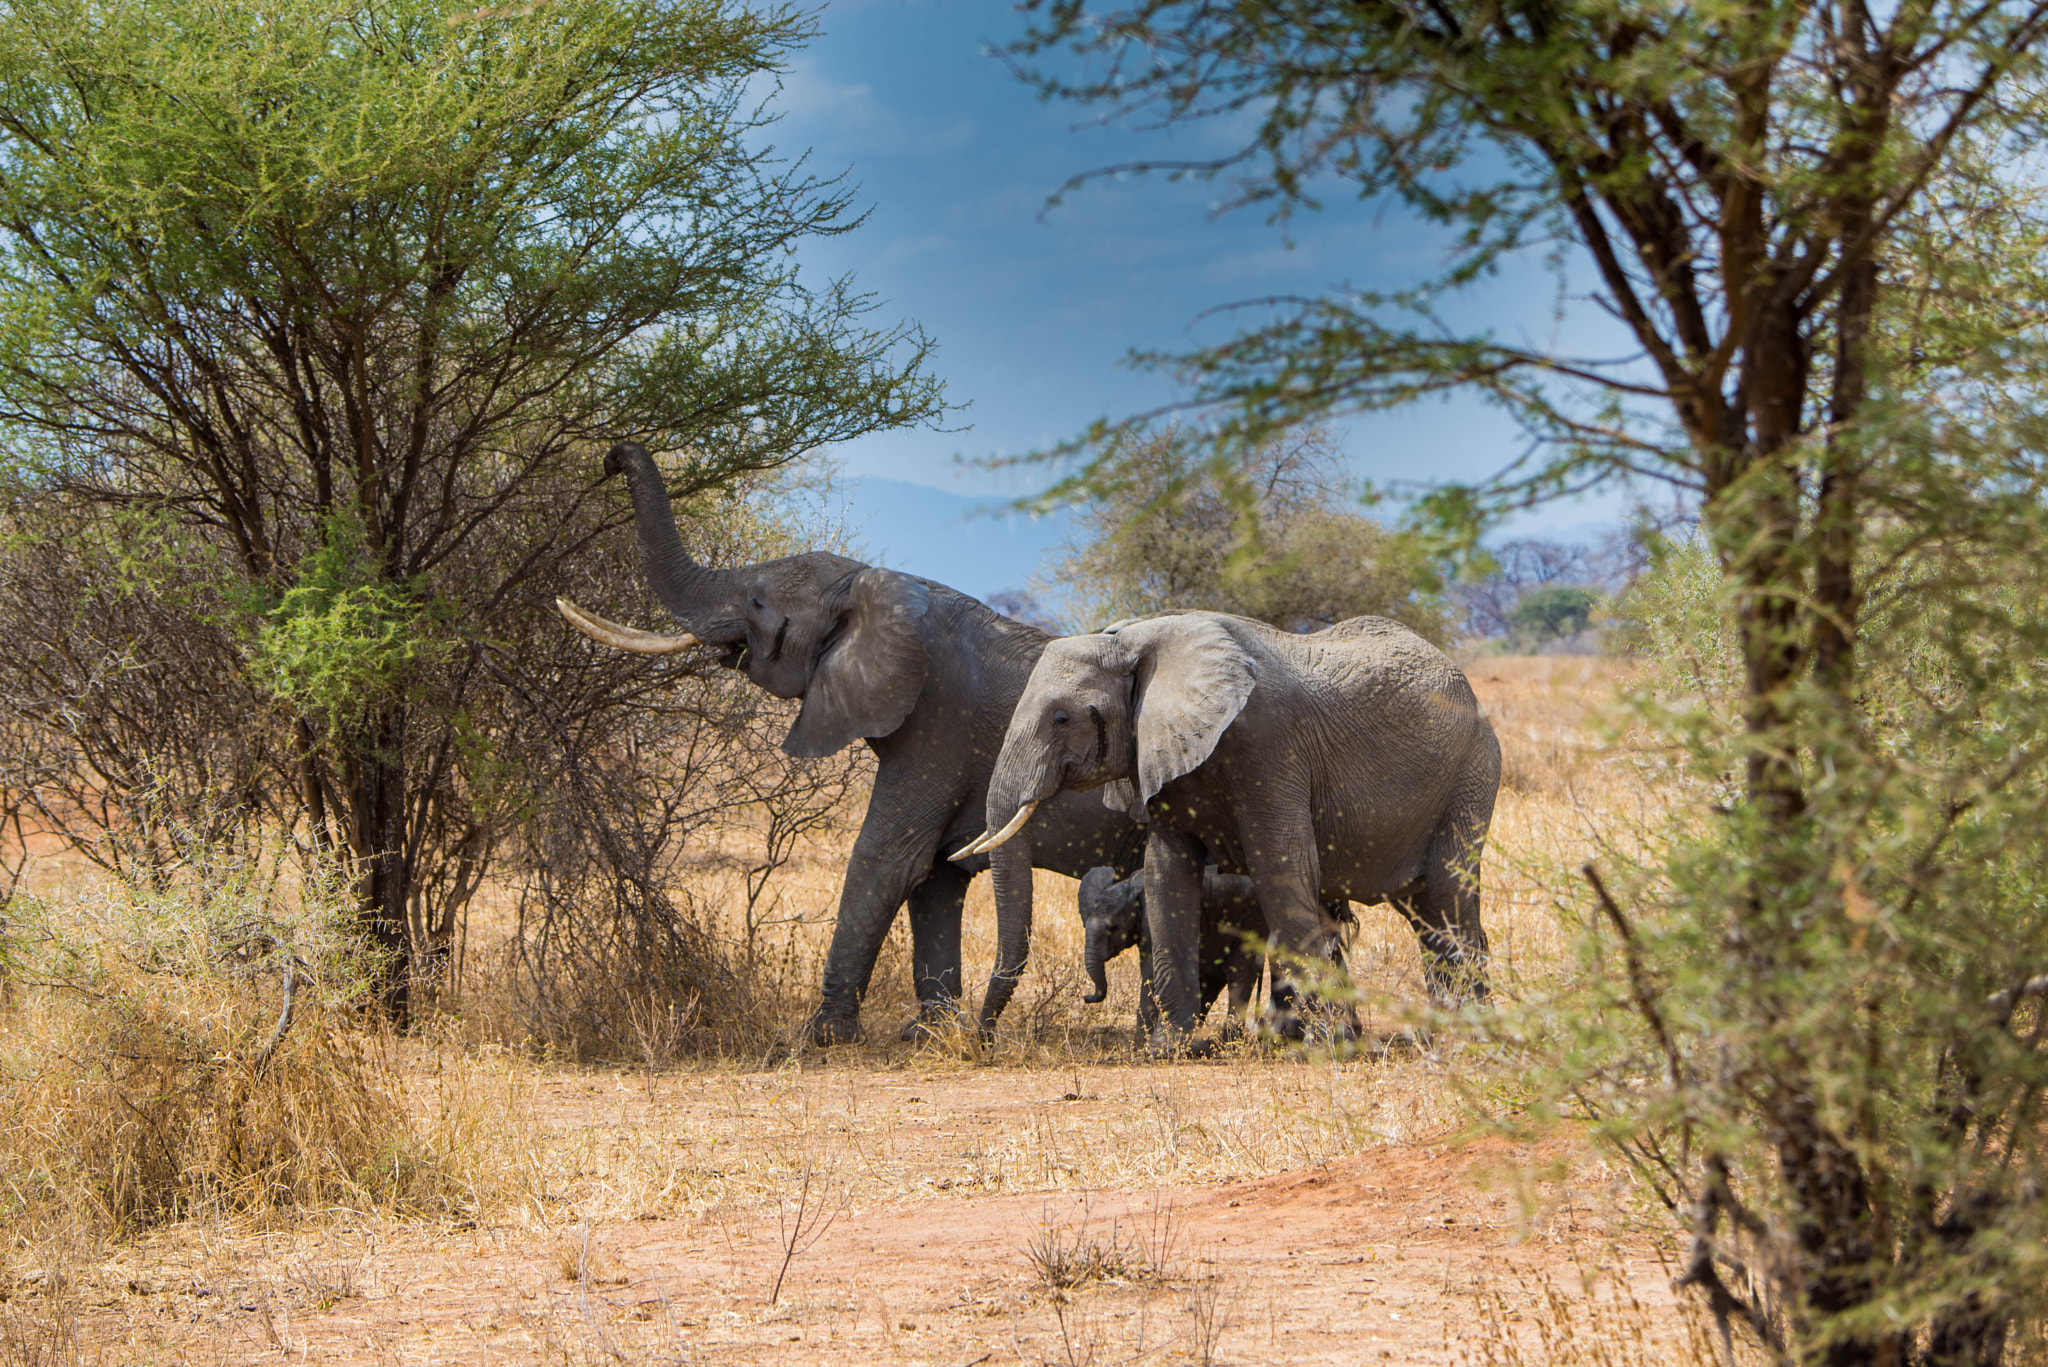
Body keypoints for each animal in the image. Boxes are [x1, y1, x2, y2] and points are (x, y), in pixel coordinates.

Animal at [557, 441, 1148, 1045]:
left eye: (757, 602)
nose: (611, 457)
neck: (866, 588)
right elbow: (935, 874)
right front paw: (927, 1034)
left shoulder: (938, 724)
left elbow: (886, 859)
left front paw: (823, 1036)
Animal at [1076, 865, 1358, 1041]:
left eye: (1112, 928)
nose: (1087, 997)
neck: (1128, 887)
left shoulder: (1150, 919)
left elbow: (1149, 970)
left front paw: (1140, 1044)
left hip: (1250, 921)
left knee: (1240, 976)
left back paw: (1229, 1040)